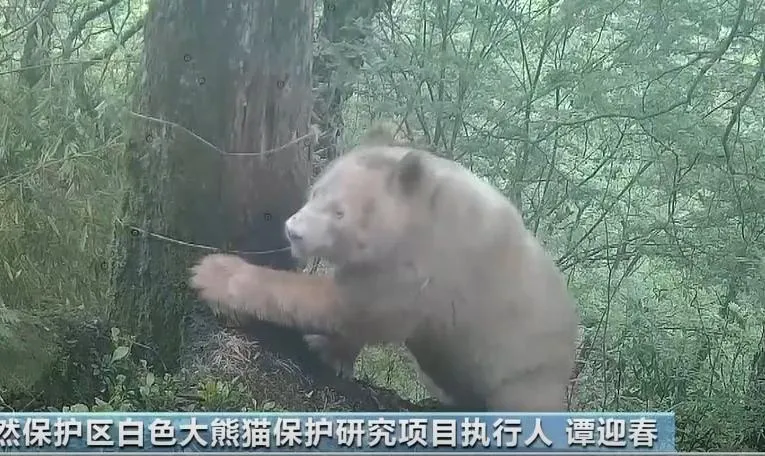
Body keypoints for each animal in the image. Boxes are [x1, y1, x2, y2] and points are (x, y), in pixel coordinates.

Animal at [189, 127, 580, 411]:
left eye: (339, 212)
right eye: (316, 192)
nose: (293, 231)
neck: (423, 204)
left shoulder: (429, 263)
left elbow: (351, 305)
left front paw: (214, 276)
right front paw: (334, 353)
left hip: (526, 367)